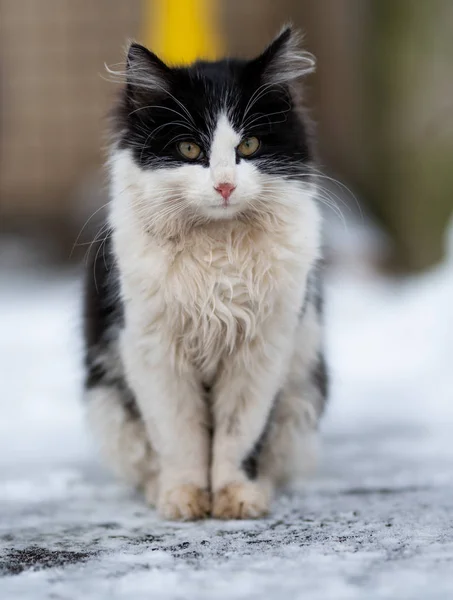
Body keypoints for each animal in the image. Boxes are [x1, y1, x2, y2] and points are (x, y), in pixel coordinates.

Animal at [83, 24, 326, 520]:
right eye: (190, 149)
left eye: (249, 146)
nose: (225, 185)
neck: (218, 253)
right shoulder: (154, 349)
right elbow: (181, 436)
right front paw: (185, 498)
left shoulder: (263, 351)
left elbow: (239, 434)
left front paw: (236, 497)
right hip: (108, 403)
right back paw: (160, 491)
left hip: (302, 391)